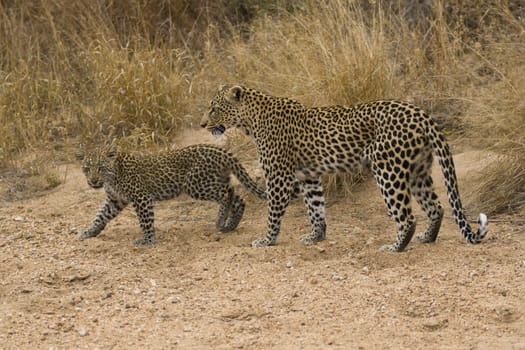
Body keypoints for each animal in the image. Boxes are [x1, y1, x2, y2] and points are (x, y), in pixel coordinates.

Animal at [77, 144, 266, 245]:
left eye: (100, 168)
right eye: (86, 169)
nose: (93, 181)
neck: (112, 176)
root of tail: (219, 150)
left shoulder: (141, 196)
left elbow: (145, 221)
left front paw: (147, 241)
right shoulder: (115, 201)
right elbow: (100, 216)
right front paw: (89, 232)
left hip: (195, 184)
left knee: (229, 192)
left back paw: (220, 220)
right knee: (238, 199)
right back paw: (229, 225)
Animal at [201, 83, 488, 250]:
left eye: (214, 109)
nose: (203, 124)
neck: (251, 119)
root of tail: (420, 112)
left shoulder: (278, 177)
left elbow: (273, 211)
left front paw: (266, 240)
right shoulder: (309, 177)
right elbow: (315, 208)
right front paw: (315, 237)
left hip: (388, 169)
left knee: (407, 216)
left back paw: (395, 246)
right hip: (417, 170)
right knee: (436, 207)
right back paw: (427, 238)